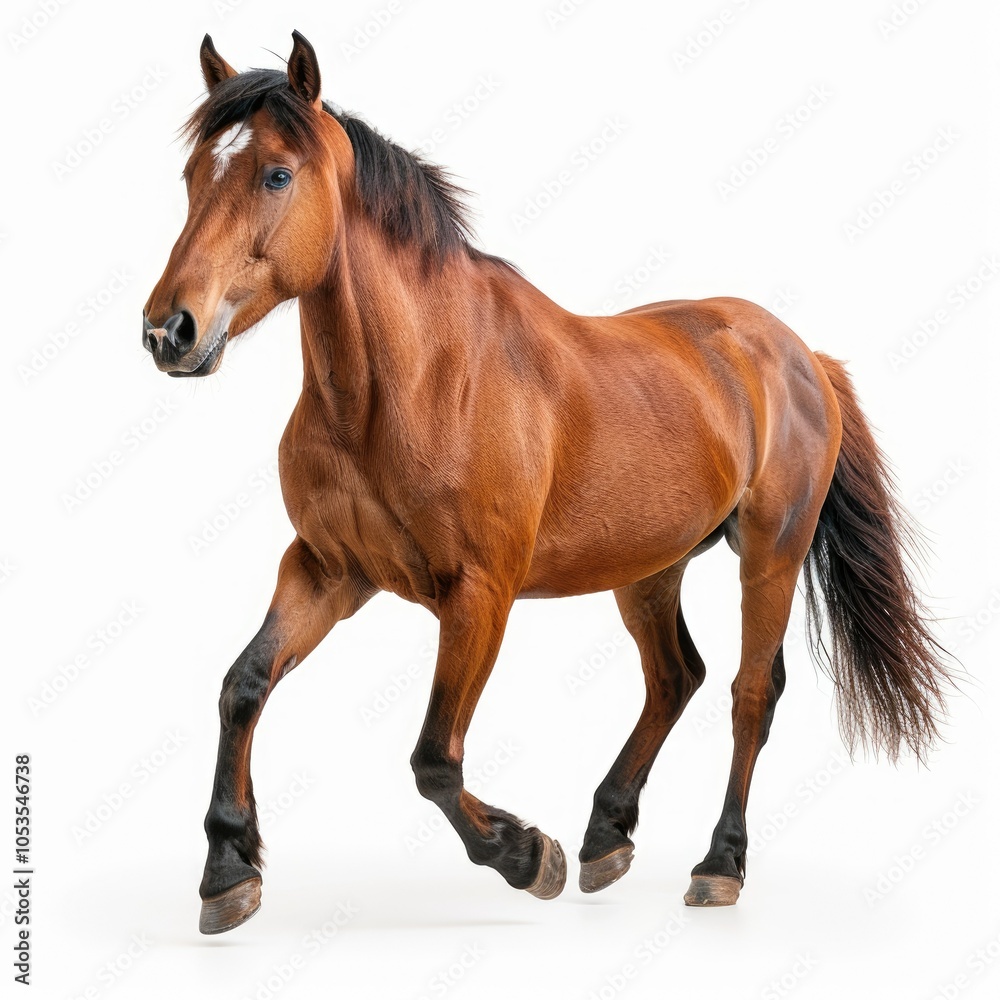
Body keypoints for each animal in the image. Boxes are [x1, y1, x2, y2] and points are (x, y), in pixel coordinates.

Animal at [142, 31, 951, 934]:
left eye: (277, 175)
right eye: (193, 174)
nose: (169, 331)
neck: (416, 382)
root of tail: (799, 354)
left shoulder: (479, 593)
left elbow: (434, 759)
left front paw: (527, 855)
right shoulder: (326, 570)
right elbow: (242, 686)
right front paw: (227, 868)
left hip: (771, 553)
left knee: (750, 693)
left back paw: (717, 864)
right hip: (648, 567)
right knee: (677, 677)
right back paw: (607, 834)